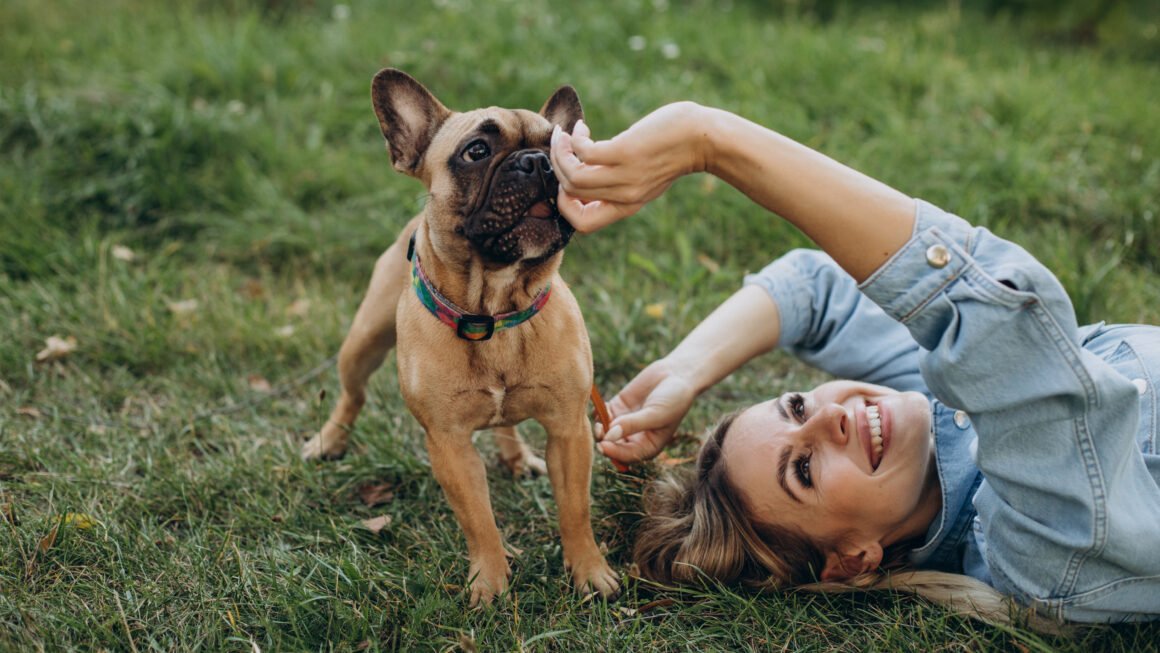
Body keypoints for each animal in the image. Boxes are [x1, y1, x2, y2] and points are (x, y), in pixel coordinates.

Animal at [303, 69, 621, 607]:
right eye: (476, 151)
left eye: (562, 151)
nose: (538, 162)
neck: (494, 307)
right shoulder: (449, 444)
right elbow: (479, 520)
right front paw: (490, 584)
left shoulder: (569, 430)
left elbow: (574, 509)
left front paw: (590, 571)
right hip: (363, 342)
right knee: (351, 394)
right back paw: (329, 440)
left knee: (505, 424)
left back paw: (517, 456)